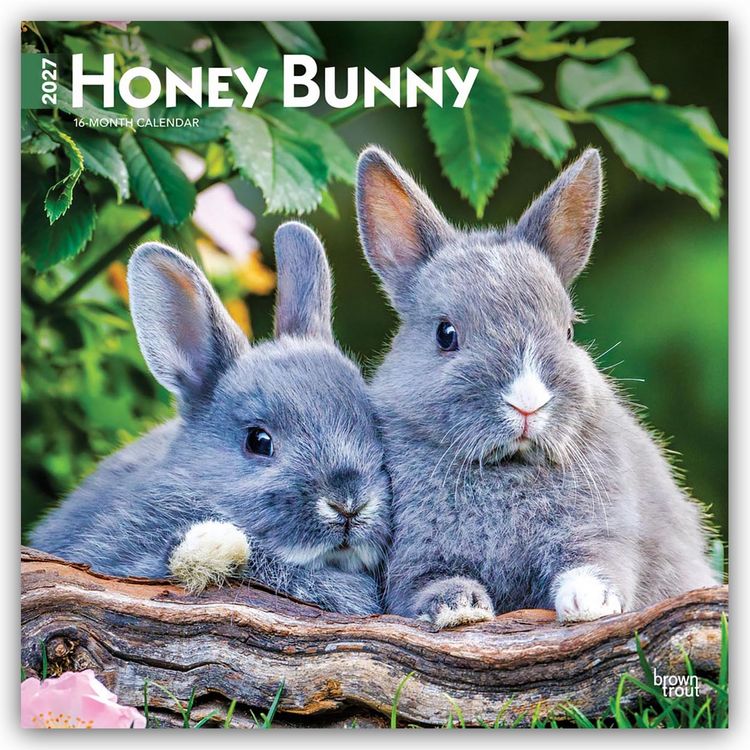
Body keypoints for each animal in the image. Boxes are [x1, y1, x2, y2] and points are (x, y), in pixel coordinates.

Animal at [354, 145, 718, 628]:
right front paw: (459, 609)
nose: (527, 404)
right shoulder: (413, 559)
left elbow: (595, 564)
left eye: (569, 331)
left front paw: (590, 604)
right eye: (445, 334)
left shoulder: (599, 531)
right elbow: (425, 585)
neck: (510, 465)